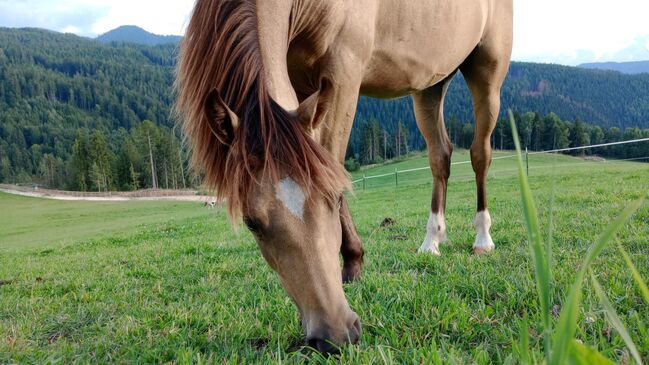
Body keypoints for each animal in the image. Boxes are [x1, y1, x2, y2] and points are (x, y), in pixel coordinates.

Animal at [173, 0, 512, 352]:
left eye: (336, 199)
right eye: (252, 223)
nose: (335, 335)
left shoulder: (343, 74)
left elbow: (332, 158)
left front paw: (353, 261)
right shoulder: (300, 82)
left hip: (487, 72)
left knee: (480, 154)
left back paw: (483, 238)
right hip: (431, 84)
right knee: (440, 157)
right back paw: (432, 240)